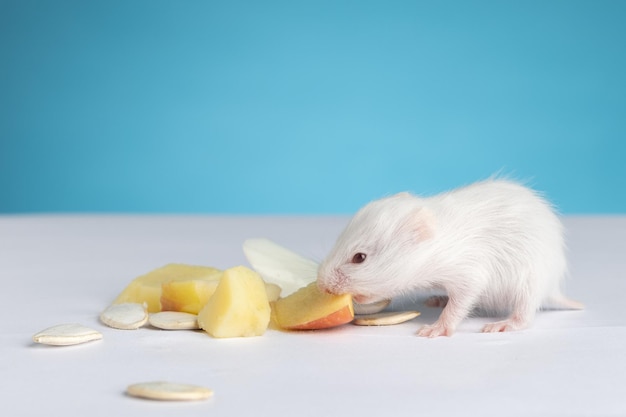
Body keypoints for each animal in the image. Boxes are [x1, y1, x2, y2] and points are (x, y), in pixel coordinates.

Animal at [316, 177, 580, 336]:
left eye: (359, 257)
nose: (322, 285)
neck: (437, 246)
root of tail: (554, 289)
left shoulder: (470, 273)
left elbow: (459, 304)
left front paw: (435, 329)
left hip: (529, 283)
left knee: (524, 315)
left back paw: (503, 324)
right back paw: (439, 299)